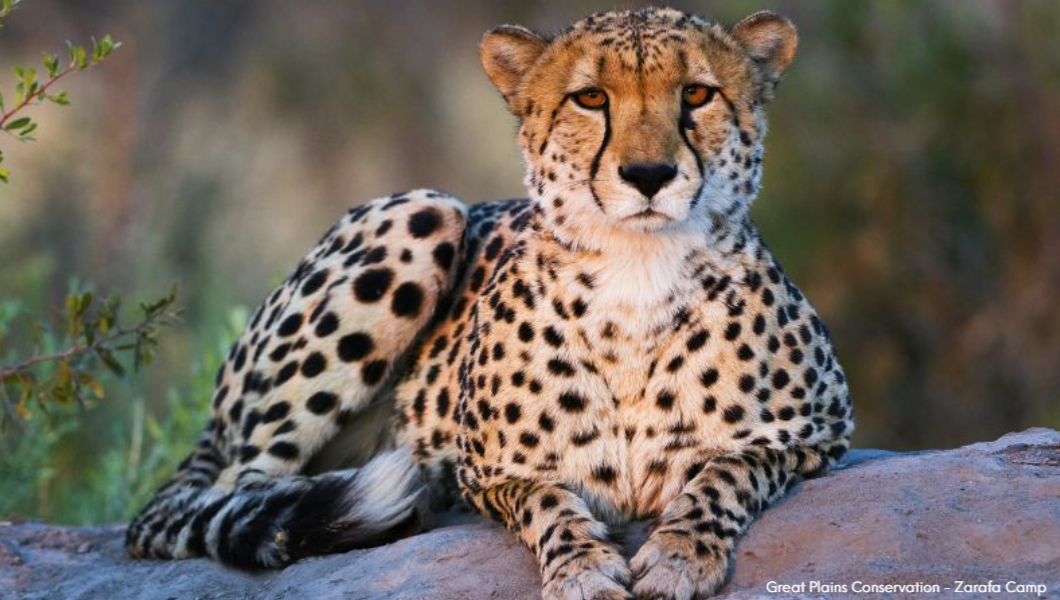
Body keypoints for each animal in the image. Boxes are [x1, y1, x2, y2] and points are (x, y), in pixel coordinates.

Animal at [128, 9, 852, 600]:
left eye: (697, 94)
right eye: (591, 98)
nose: (649, 175)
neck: (637, 272)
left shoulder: (823, 432)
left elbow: (729, 469)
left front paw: (680, 554)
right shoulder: (490, 469)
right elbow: (548, 501)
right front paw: (581, 569)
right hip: (422, 210)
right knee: (240, 493)